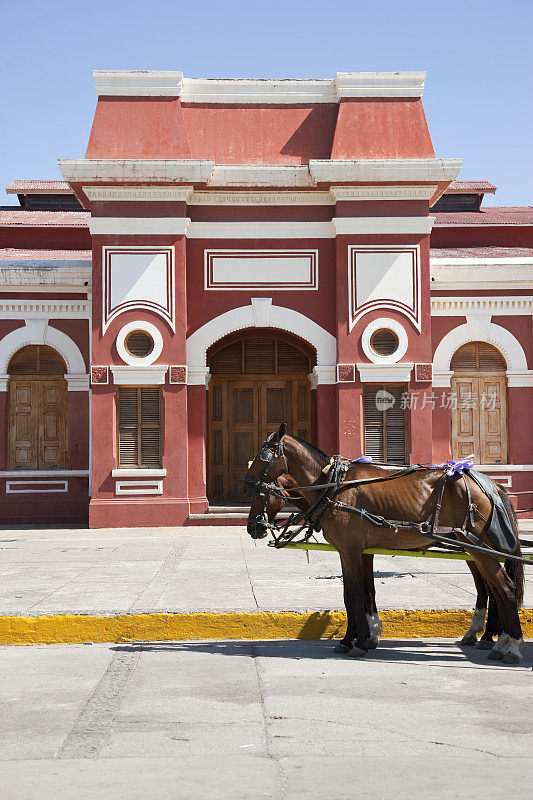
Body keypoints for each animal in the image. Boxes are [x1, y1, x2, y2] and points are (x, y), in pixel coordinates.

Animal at [244, 424, 524, 664]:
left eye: (263, 456)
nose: (252, 526)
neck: (334, 486)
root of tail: (492, 486)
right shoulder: (359, 551)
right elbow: (361, 593)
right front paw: (361, 638)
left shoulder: (350, 550)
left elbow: (354, 594)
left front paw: (357, 642)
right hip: (475, 549)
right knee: (493, 589)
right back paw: (493, 639)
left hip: (478, 548)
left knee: (505, 589)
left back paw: (510, 645)